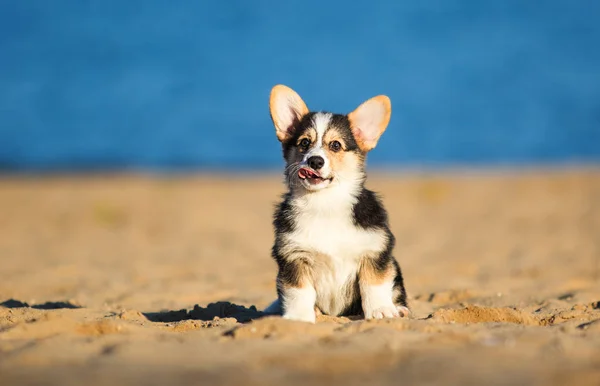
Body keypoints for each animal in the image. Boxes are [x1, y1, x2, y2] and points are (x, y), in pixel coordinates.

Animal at [264, 84, 410, 322]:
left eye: (335, 145)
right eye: (304, 143)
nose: (315, 161)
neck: (325, 202)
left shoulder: (374, 250)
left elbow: (374, 284)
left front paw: (381, 310)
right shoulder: (294, 256)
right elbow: (298, 291)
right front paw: (299, 317)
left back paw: (399, 308)